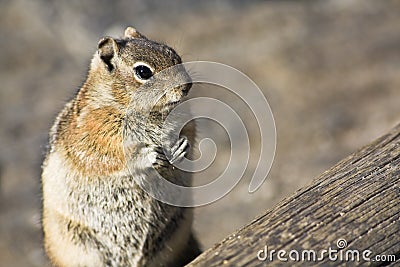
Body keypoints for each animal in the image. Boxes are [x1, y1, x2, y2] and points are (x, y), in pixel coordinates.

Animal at [41, 27, 200, 267]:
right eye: (143, 71)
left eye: (172, 53)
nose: (186, 86)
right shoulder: (94, 138)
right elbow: (113, 157)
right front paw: (150, 156)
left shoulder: (186, 122)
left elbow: (189, 135)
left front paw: (182, 148)